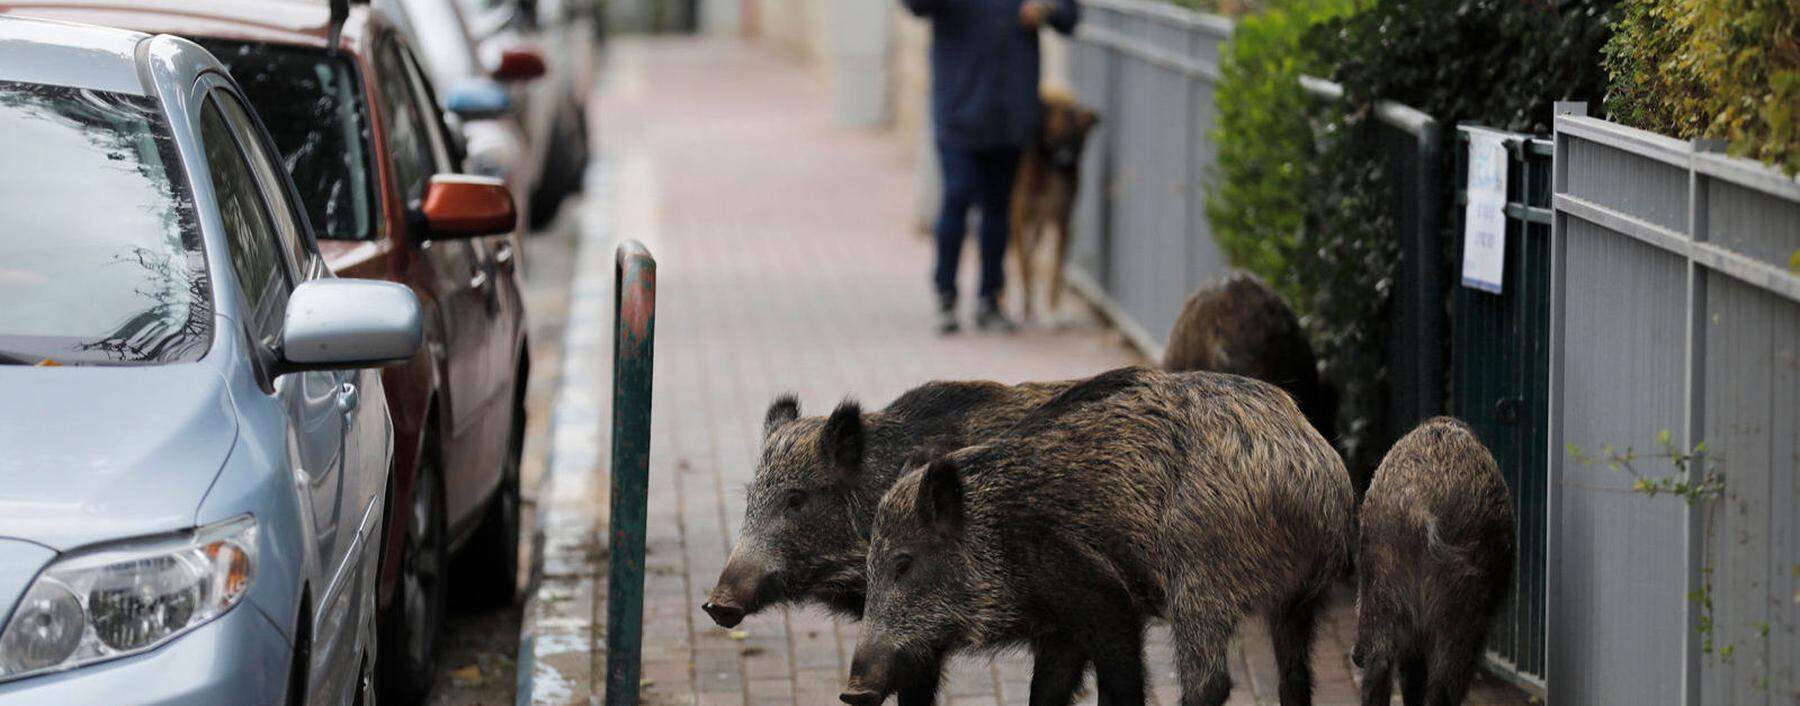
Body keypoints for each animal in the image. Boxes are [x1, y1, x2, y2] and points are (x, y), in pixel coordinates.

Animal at [1008, 90, 1101, 320]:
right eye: (1054, 135)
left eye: (1078, 140)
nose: (1067, 162)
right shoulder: (1020, 220)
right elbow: (1024, 264)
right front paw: (1028, 302)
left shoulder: (1062, 222)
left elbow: (1056, 268)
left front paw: (1051, 305)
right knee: (1018, 259)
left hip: (1039, 228)